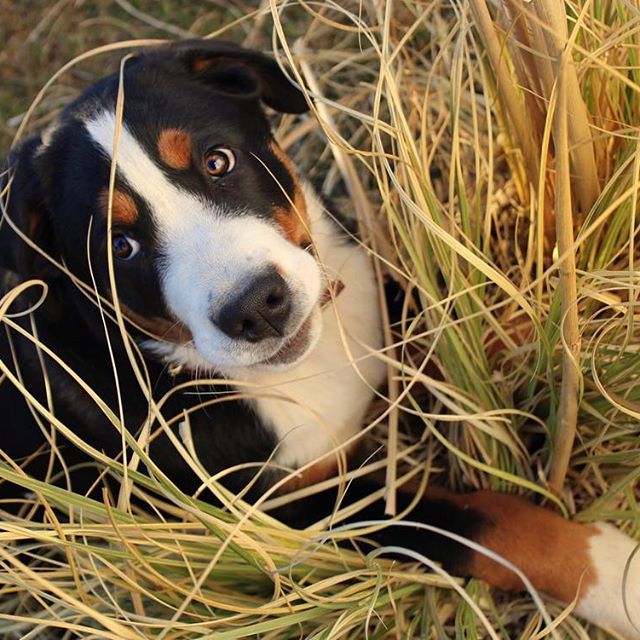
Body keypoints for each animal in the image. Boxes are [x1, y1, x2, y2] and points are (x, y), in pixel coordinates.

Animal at [0, 41, 636, 640]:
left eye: (218, 160)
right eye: (120, 247)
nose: (255, 307)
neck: (305, 370)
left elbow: (444, 324)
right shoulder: (289, 511)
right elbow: (479, 524)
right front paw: (609, 572)